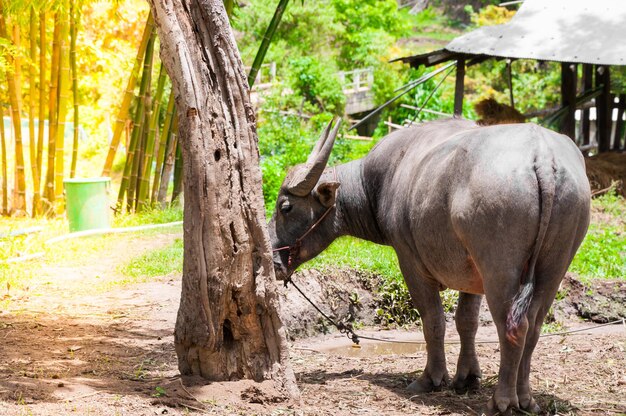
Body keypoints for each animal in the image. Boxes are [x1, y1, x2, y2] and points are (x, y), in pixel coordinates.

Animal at [270, 117, 588, 412]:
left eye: (285, 207)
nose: (273, 260)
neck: (380, 181)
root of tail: (541, 156)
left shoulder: (410, 262)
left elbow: (433, 320)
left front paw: (431, 378)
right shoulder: (471, 274)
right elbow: (466, 321)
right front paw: (466, 377)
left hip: (499, 269)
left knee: (513, 326)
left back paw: (503, 401)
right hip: (554, 264)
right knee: (533, 325)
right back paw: (526, 398)